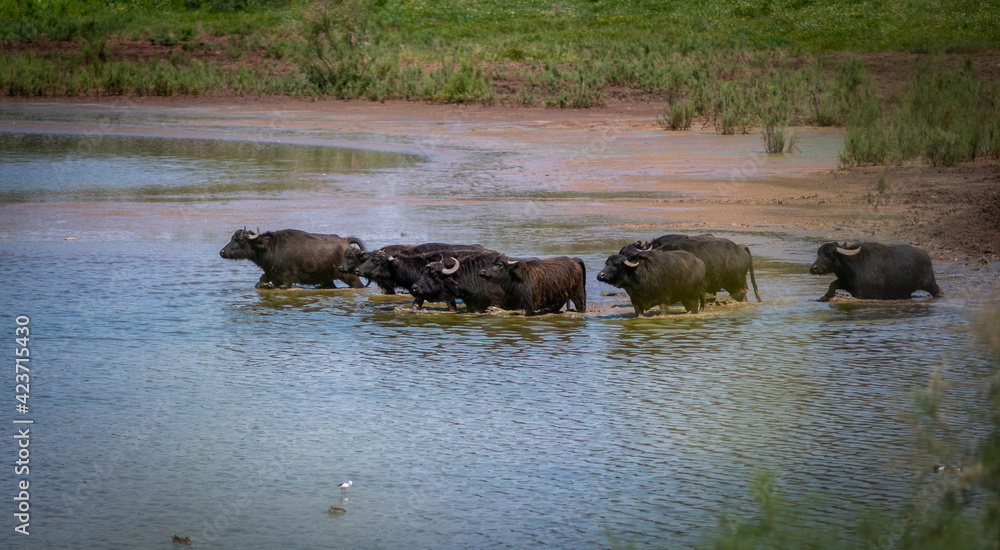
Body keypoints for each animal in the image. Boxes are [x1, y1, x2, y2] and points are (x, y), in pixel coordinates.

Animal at [220, 228, 365, 289]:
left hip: (350, 276)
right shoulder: (270, 276)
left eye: (239, 240)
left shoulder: (286, 281)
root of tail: (346, 241)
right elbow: (260, 283)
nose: (222, 252)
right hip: (327, 279)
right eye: (232, 238)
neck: (271, 248)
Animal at [809, 242, 942, 301]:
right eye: (818, 253)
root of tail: (925, 255)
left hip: (930, 283)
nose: (813, 268)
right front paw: (826, 295)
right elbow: (833, 283)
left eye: (828, 254)